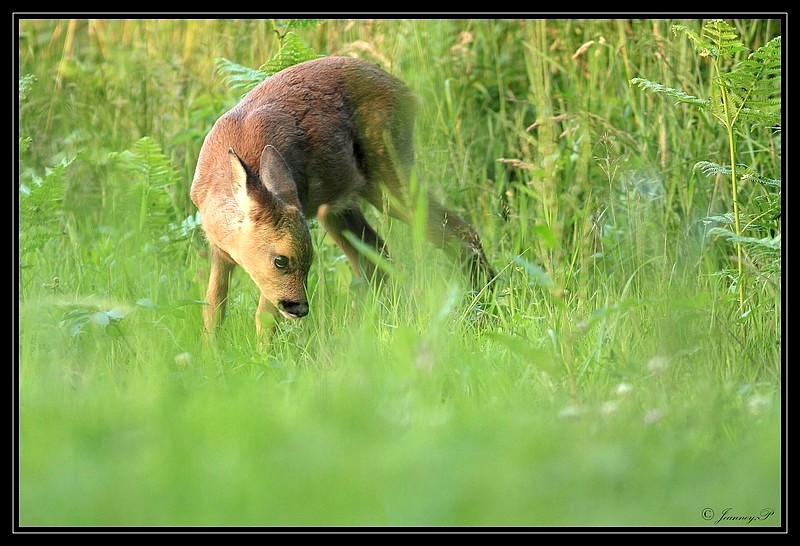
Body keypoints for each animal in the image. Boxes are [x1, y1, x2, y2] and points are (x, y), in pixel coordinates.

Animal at [191, 56, 496, 336]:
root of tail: (410, 95)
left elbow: (264, 318)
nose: (299, 307)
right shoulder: (218, 251)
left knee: (461, 233)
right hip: (339, 206)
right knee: (378, 259)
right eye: (281, 260)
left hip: (390, 178)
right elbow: (212, 310)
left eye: (308, 258)